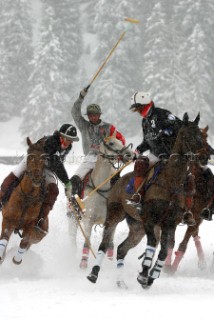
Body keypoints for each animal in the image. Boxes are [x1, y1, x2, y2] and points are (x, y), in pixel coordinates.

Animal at [87, 114, 211, 288]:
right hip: (114, 215)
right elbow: (152, 244)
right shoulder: (149, 219)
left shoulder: (169, 224)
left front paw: (151, 276)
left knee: (122, 249)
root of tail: (118, 180)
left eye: (201, 134)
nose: (207, 154)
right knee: (105, 244)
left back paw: (120, 282)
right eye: (188, 135)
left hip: (137, 227)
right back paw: (93, 274)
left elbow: (164, 250)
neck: (170, 181)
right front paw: (144, 274)